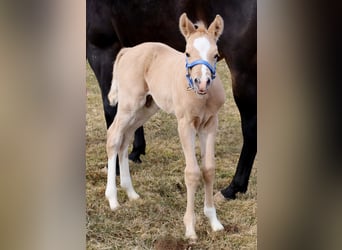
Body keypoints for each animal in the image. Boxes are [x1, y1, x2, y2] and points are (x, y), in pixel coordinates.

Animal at [86, 0, 256, 199]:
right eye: (187, 53)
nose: (201, 83)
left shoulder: (101, 50)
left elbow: (110, 111)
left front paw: (115, 167)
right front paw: (136, 151)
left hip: (243, 71)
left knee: (250, 127)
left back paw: (234, 187)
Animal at [105, 13, 226, 240]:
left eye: (215, 55)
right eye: (187, 53)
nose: (202, 82)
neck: (201, 97)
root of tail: (128, 51)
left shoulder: (210, 124)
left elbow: (208, 169)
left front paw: (214, 221)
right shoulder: (185, 124)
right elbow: (192, 173)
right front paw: (190, 229)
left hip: (146, 107)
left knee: (125, 139)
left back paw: (131, 192)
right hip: (129, 104)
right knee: (113, 136)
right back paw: (113, 199)